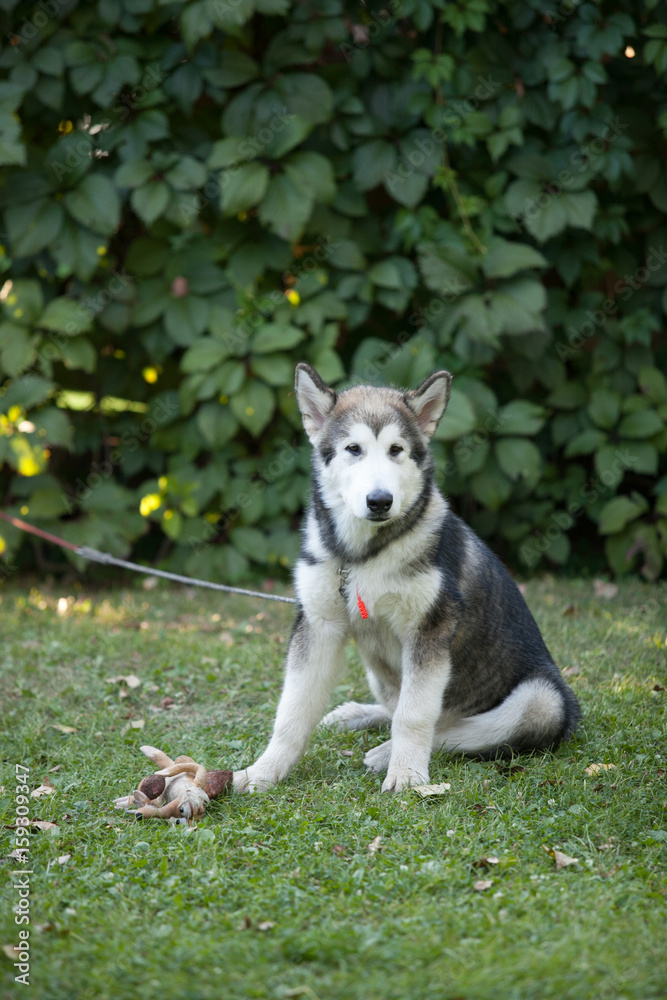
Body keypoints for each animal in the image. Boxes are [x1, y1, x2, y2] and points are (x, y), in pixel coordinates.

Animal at [234, 364, 580, 792]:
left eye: (396, 450)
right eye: (353, 449)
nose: (380, 501)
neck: (362, 556)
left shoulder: (429, 629)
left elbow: (414, 716)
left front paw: (407, 775)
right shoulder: (318, 624)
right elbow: (292, 713)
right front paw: (262, 771)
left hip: (544, 700)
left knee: (451, 726)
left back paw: (385, 753)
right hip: (380, 669)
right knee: (396, 703)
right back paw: (354, 715)